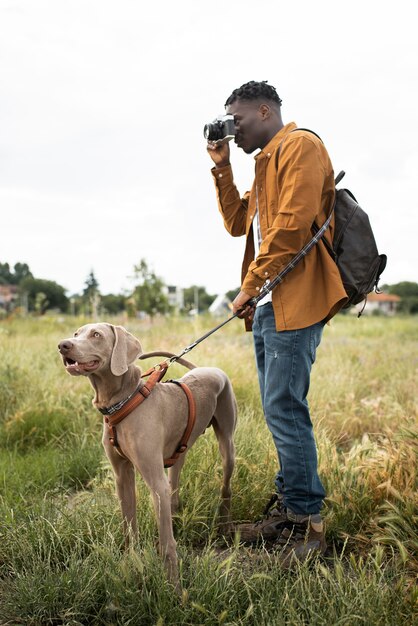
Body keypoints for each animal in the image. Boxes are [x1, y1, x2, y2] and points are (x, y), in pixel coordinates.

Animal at [57, 322, 237, 584]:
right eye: (76, 334)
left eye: (96, 335)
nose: (63, 345)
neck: (123, 402)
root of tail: (207, 368)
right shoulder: (122, 477)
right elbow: (129, 526)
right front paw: (131, 563)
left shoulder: (154, 480)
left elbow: (167, 544)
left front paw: (173, 586)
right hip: (179, 452)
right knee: (174, 486)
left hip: (227, 444)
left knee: (225, 486)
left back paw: (223, 524)